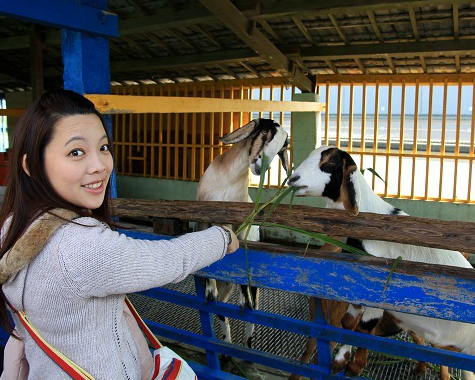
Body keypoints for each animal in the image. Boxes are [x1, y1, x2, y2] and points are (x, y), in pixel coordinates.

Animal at [197, 119, 290, 348]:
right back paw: (226, 341)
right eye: (263, 131)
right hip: (225, 288)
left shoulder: (239, 226)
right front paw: (209, 291)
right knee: (222, 311)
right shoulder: (202, 219)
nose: (262, 165)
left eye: (281, 146)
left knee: (252, 313)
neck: (226, 184)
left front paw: (242, 300)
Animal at [288, 145, 474, 380]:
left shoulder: (378, 289)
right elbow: (349, 323)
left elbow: (364, 327)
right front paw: (341, 361)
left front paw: (355, 365)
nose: (293, 178)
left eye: (330, 162)